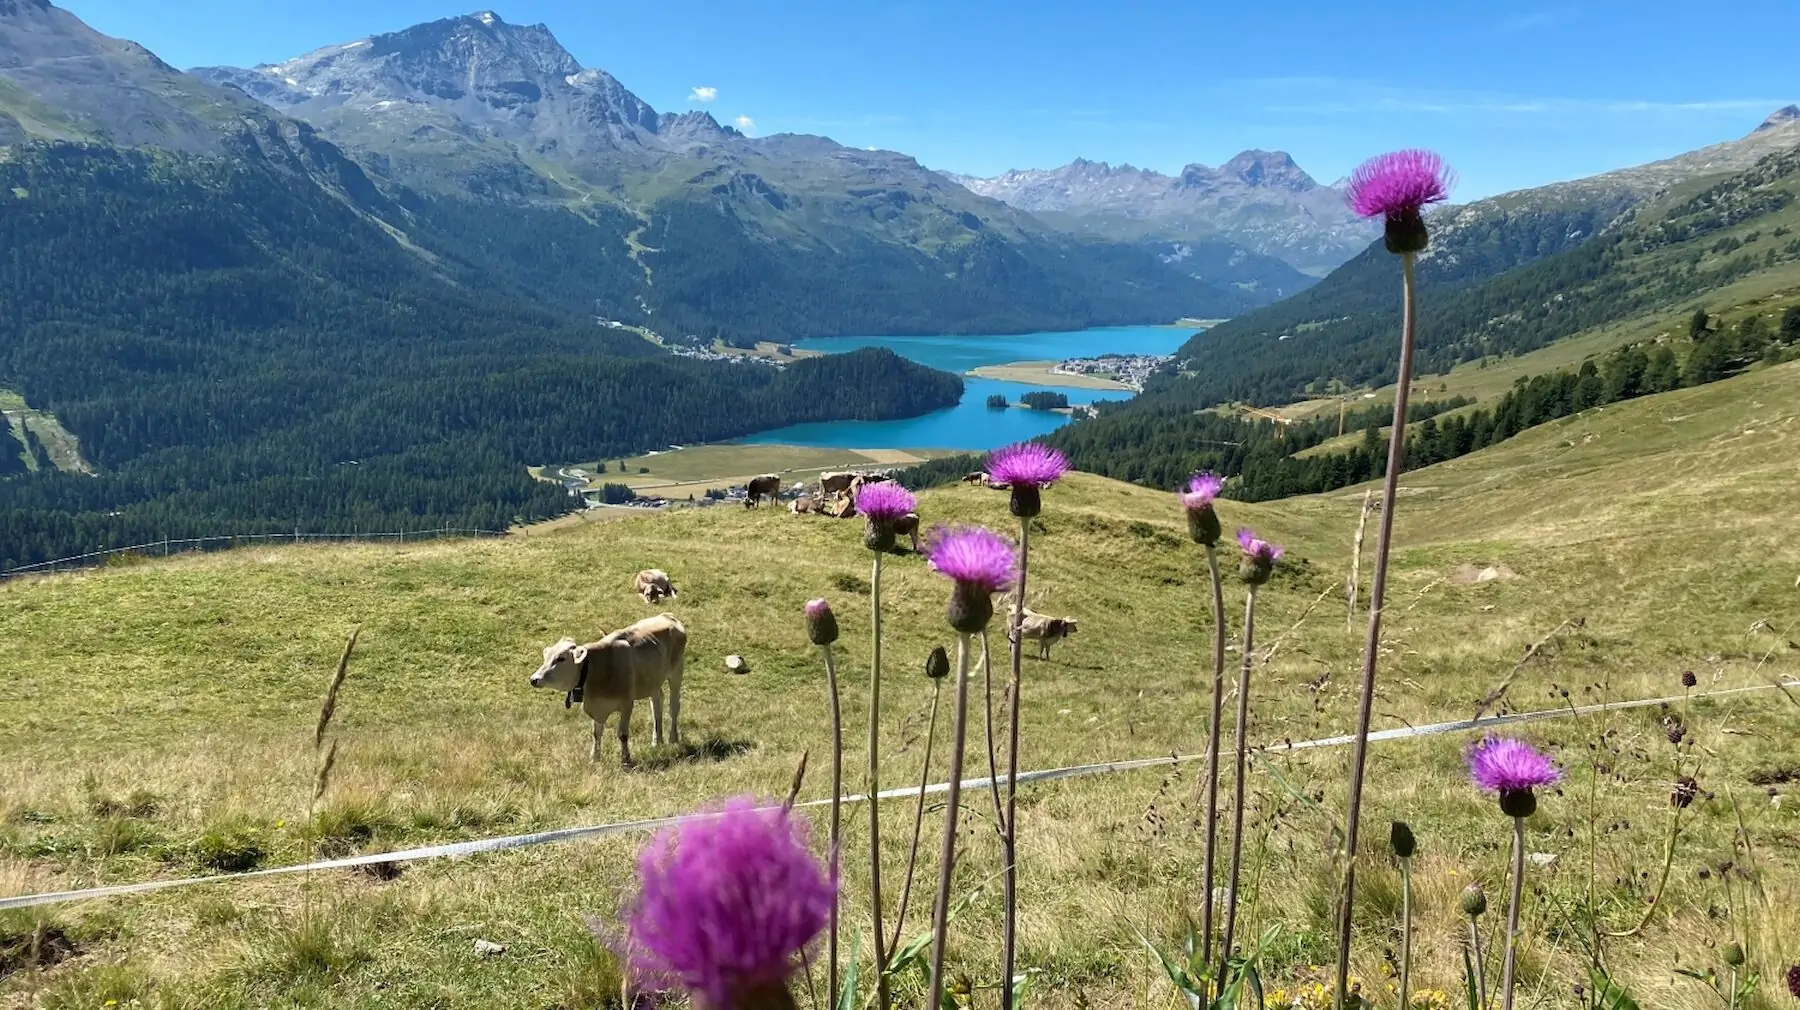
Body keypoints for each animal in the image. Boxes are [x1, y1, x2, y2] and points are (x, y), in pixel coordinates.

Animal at [528, 614, 687, 765]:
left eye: (561, 658)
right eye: (546, 657)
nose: (534, 679)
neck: (598, 667)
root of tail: (667, 616)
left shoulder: (627, 704)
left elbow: (622, 734)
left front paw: (626, 759)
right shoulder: (596, 706)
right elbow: (596, 733)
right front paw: (595, 758)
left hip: (676, 673)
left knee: (673, 706)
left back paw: (673, 739)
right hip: (653, 681)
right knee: (656, 705)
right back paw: (657, 741)